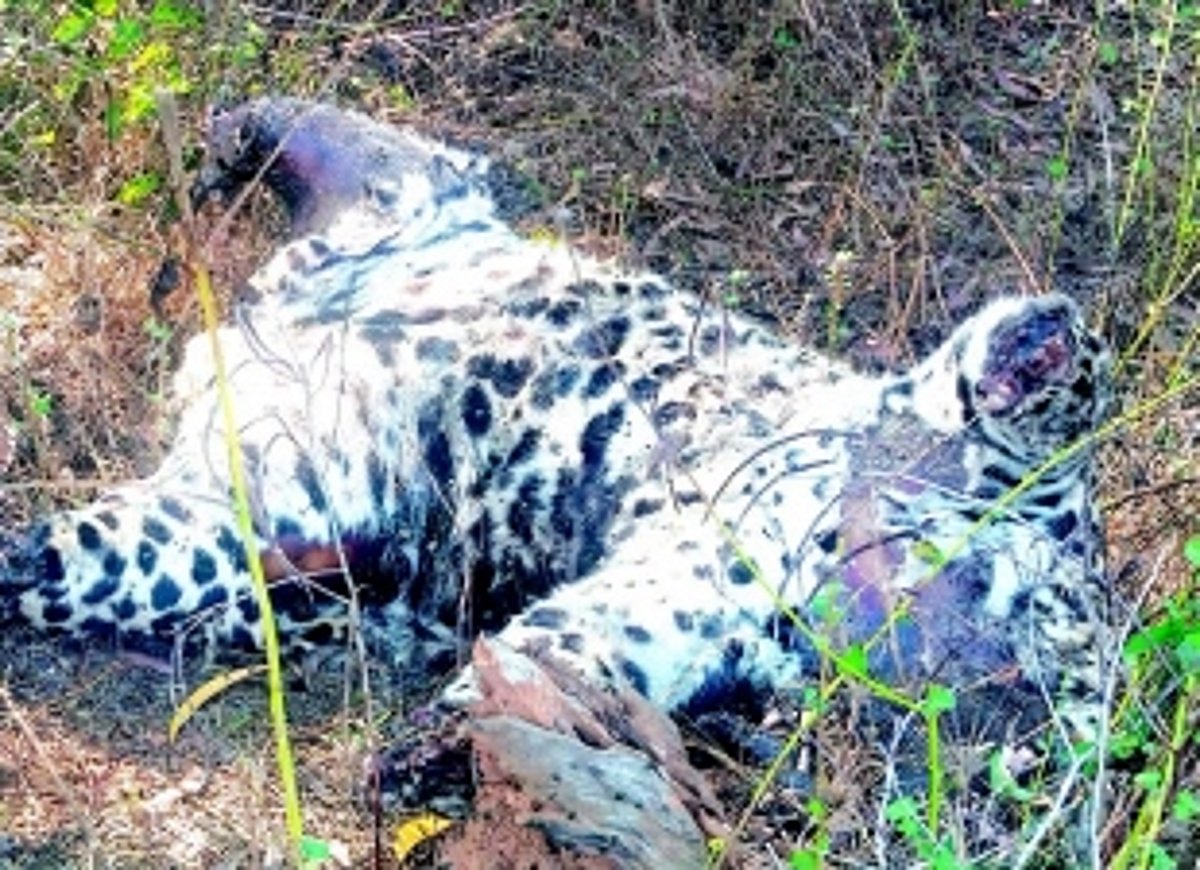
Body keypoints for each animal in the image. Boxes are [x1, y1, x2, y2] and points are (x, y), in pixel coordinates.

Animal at [0, 98, 1114, 751]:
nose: (1014, 681)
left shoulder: (664, 613)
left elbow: (548, 668)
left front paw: (445, 751)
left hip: (243, 509)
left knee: (69, 561)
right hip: (407, 203)